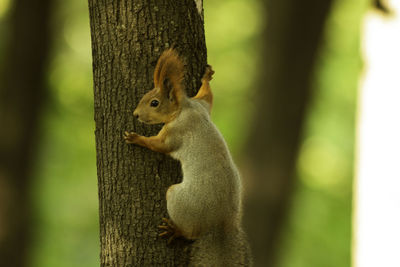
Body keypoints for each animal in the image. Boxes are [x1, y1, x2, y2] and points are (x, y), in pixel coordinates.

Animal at [123, 49, 252, 266]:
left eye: (154, 103)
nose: (136, 114)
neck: (184, 109)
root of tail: (221, 220)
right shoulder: (201, 105)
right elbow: (208, 95)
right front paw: (207, 76)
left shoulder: (176, 133)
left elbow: (160, 145)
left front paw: (136, 138)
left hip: (180, 200)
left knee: (190, 232)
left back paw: (175, 230)